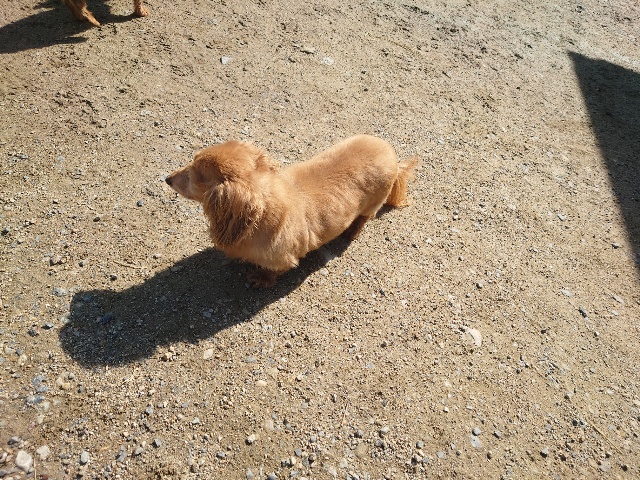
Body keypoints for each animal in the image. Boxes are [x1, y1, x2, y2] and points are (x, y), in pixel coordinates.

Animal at [165, 135, 418, 287]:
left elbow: (272, 271)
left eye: (194, 176)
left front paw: (260, 278)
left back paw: (352, 232)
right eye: (191, 161)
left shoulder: (281, 259)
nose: (167, 179)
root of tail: (393, 157)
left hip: (373, 202)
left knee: (364, 218)